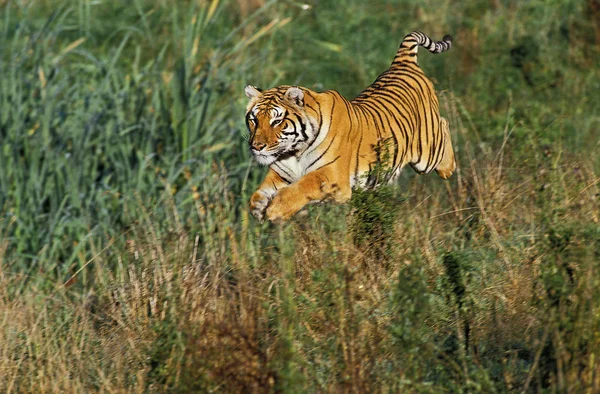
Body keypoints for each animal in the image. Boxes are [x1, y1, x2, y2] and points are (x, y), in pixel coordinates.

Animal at [244, 30, 454, 222]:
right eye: (254, 120)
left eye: (277, 121)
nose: (256, 146)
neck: (295, 151)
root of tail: (402, 62)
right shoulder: (283, 174)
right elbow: (262, 190)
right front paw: (258, 207)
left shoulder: (333, 177)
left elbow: (305, 184)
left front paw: (277, 209)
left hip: (426, 155)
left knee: (444, 124)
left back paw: (448, 168)